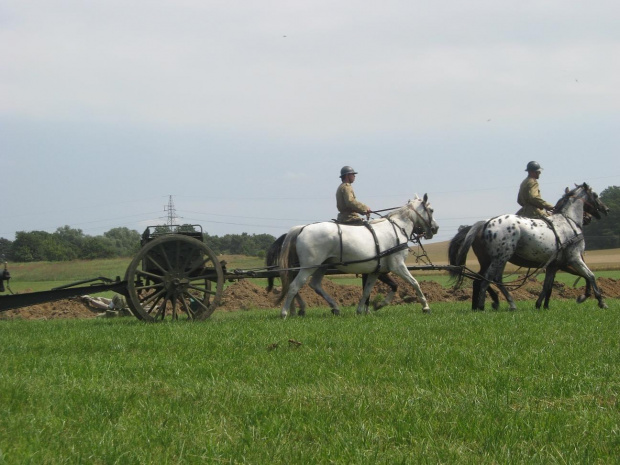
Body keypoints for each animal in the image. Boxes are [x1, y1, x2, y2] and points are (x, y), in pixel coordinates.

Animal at [278, 194, 438, 318]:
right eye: (431, 210)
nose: (435, 228)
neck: (397, 228)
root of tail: (302, 228)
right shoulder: (397, 266)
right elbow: (414, 283)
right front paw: (426, 307)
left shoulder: (376, 271)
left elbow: (367, 291)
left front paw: (366, 308)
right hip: (308, 268)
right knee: (294, 286)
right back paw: (285, 313)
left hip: (321, 266)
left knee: (315, 284)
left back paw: (335, 307)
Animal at [448, 183, 608, 310]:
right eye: (595, 194)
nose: (606, 209)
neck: (568, 222)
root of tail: (486, 222)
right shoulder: (574, 259)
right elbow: (590, 275)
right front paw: (598, 301)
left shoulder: (554, 265)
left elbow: (547, 285)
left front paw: (540, 305)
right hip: (500, 258)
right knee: (487, 279)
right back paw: (484, 305)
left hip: (492, 260)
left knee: (487, 279)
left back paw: (493, 304)